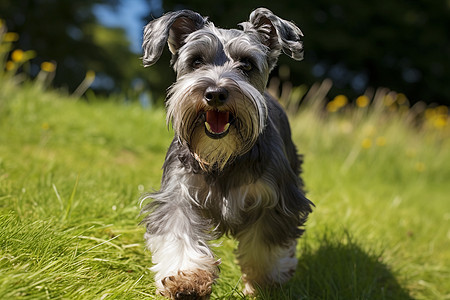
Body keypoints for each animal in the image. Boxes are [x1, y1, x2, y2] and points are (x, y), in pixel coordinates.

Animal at [141, 7, 312, 300]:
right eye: (196, 61)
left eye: (247, 64)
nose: (215, 93)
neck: (223, 158)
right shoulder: (178, 196)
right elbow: (180, 234)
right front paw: (186, 280)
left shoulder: (276, 202)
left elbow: (264, 248)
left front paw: (263, 283)